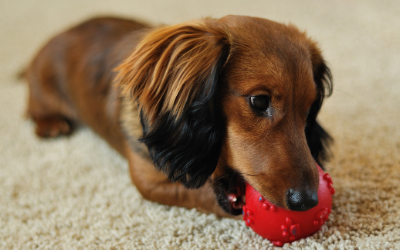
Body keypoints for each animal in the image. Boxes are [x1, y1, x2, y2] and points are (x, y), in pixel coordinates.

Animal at [23, 15, 332, 218]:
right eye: (259, 101)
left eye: (309, 109)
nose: (308, 201)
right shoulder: (148, 179)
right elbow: (195, 191)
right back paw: (50, 123)